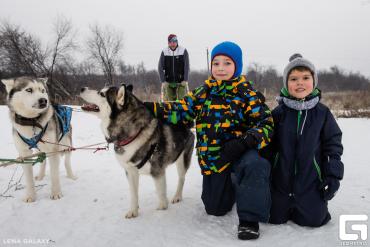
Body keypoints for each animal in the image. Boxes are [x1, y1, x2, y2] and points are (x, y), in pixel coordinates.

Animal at [80, 83, 195, 218]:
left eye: (102, 94)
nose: (82, 88)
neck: (133, 135)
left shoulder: (157, 172)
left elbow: (161, 195)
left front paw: (162, 209)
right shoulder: (131, 172)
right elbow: (133, 194)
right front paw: (133, 211)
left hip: (182, 161)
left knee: (182, 178)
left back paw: (177, 196)